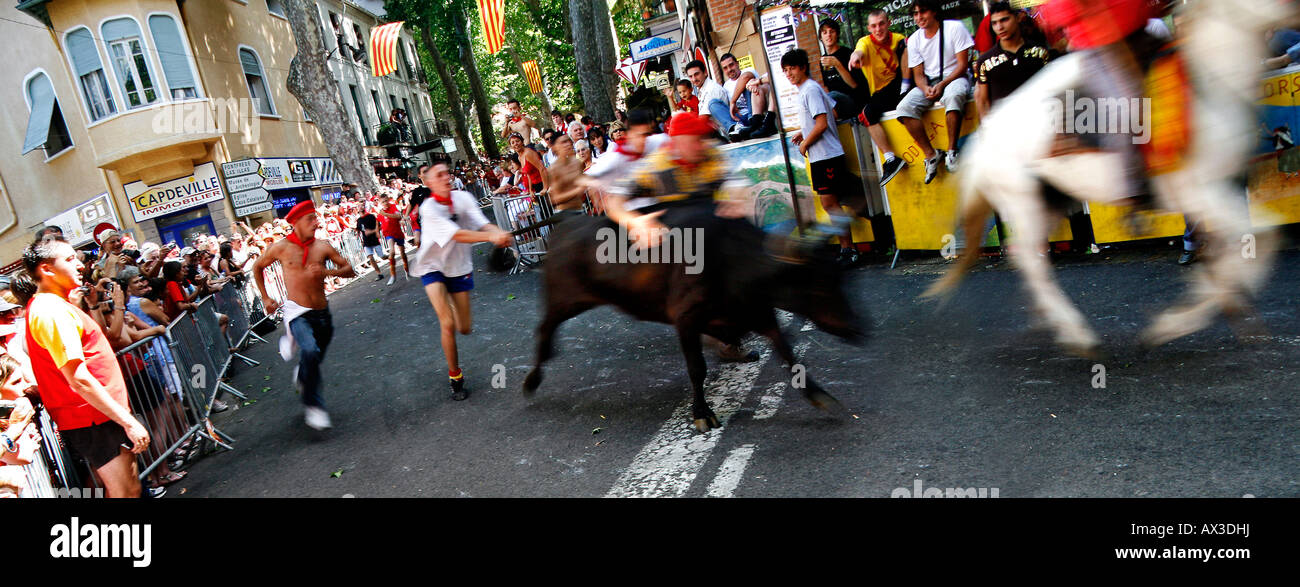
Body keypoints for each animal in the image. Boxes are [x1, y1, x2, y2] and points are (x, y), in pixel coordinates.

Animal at [517, 201, 863, 431]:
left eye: (837, 277)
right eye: (815, 284)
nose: (858, 329)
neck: (732, 259)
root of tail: (567, 219)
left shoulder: (758, 313)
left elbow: (789, 355)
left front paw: (819, 396)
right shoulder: (686, 318)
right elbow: (697, 369)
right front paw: (702, 412)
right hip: (563, 299)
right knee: (544, 330)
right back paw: (532, 380)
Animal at [920, 0, 1294, 355]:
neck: (1209, 81)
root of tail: (987, 131)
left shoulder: (1222, 187)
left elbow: (1246, 244)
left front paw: (1222, 305)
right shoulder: (1200, 191)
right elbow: (1261, 237)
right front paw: (1176, 322)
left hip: (1049, 200)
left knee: (1031, 257)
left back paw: (1049, 319)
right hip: (1022, 201)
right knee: (1029, 259)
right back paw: (1075, 333)